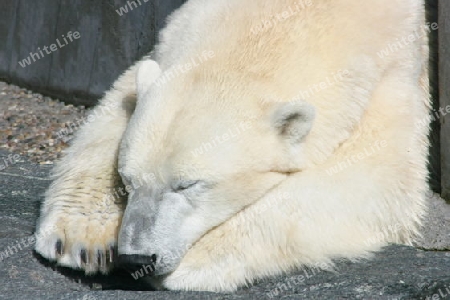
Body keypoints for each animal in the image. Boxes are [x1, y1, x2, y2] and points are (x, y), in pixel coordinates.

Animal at [34, 0, 428, 292]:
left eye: (188, 185)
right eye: (127, 180)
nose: (138, 259)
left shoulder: (390, 75)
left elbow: (373, 179)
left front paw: (197, 259)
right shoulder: (173, 38)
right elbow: (118, 102)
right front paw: (80, 239)